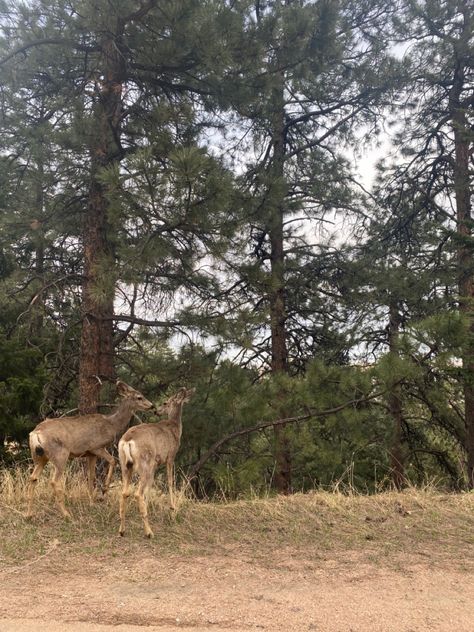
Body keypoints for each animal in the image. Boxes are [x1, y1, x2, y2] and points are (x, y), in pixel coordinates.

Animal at [26, 380, 154, 520]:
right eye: (139, 397)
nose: (152, 406)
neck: (111, 424)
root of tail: (35, 433)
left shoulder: (90, 454)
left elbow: (91, 476)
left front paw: (92, 501)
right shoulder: (96, 447)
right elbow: (113, 461)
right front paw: (104, 491)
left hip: (39, 457)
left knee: (33, 478)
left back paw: (29, 514)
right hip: (60, 454)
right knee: (54, 481)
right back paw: (66, 514)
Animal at [118, 386, 194, 540]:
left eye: (164, 403)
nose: (156, 411)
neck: (175, 429)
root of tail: (127, 440)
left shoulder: (155, 464)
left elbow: (150, 486)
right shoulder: (170, 456)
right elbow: (170, 481)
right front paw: (172, 509)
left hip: (125, 464)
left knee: (124, 492)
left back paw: (122, 530)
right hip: (144, 462)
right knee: (137, 493)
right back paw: (149, 532)